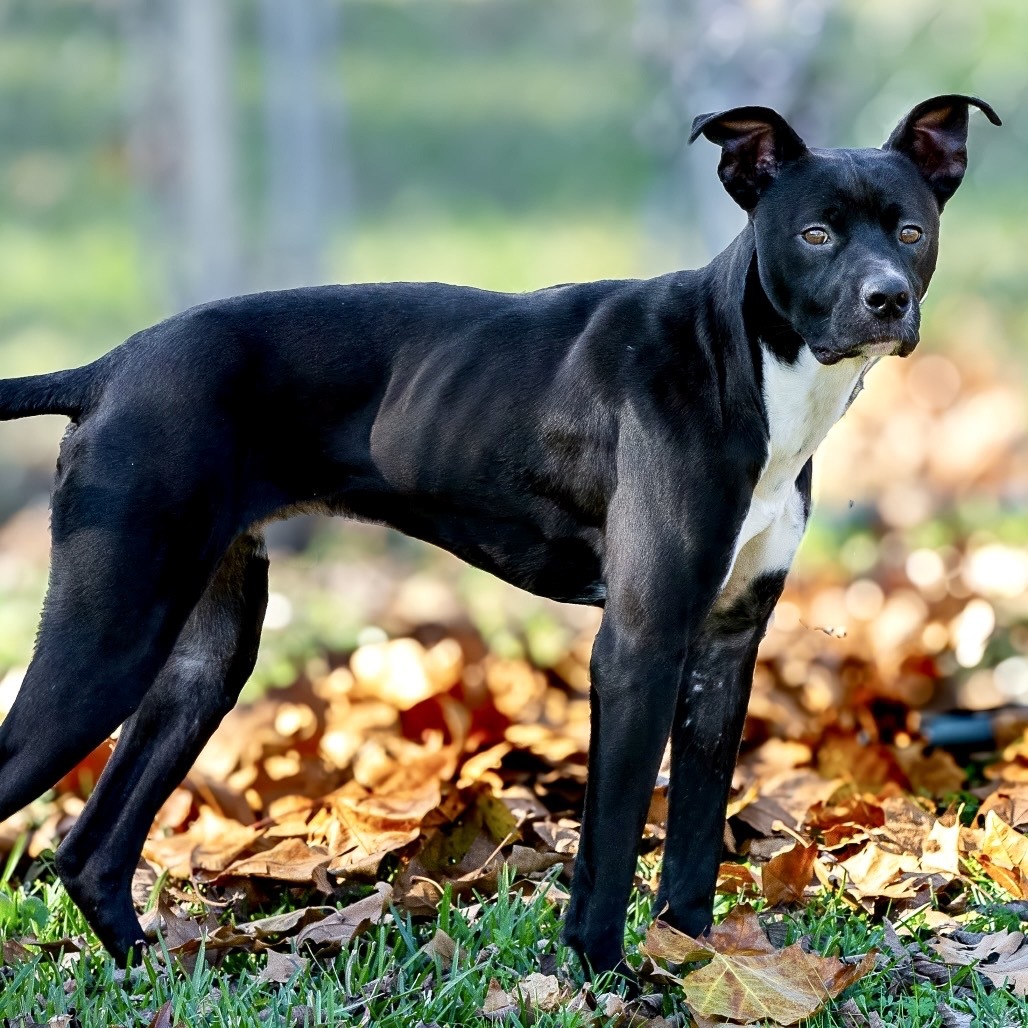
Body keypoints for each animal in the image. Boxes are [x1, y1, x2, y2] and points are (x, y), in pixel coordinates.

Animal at [0, 94, 999, 970]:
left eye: (910, 232)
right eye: (816, 234)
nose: (887, 300)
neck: (746, 359)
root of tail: (110, 369)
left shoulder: (725, 645)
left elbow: (692, 840)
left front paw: (693, 964)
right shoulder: (639, 643)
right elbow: (611, 837)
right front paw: (601, 975)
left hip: (203, 659)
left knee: (91, 852)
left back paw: (151, 968)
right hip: (109, 637)